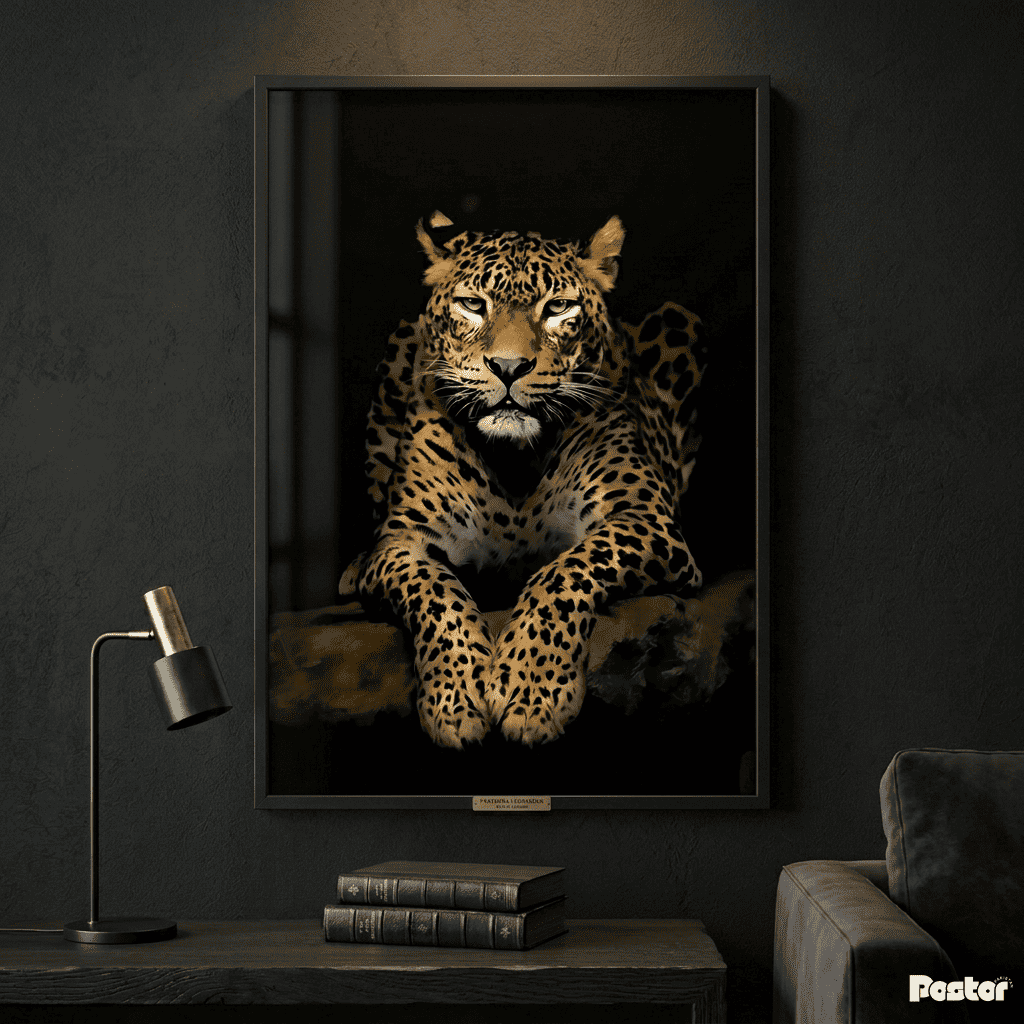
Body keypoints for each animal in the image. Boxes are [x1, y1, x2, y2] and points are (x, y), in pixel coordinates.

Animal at [339, 212, 707, 748]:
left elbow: (565, 571)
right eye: (474, 305)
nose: (509, 367)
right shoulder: (402, 542)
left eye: (558, 307)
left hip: (680, 319)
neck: (514, 461)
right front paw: (457, 699)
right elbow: (435, 592)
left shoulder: (646, 518)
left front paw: (532, 693)